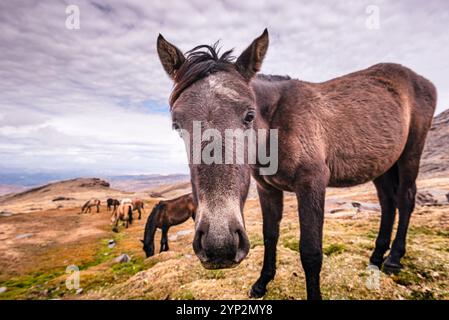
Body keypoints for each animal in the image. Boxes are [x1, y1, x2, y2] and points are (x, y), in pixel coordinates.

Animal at [156, 30, 436, 300]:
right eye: (177, 125)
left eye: (249, 115)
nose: (219, 245)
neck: (277, 123)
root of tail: (423, 80)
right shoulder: (267, 189)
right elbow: (270, 235)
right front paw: (262, 283)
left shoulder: (312, 185)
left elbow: (311, 252)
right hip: (382, 166)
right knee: (388, 204)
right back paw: (376, 258)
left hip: (410, 154)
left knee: (405, 199)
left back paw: (394, 259)